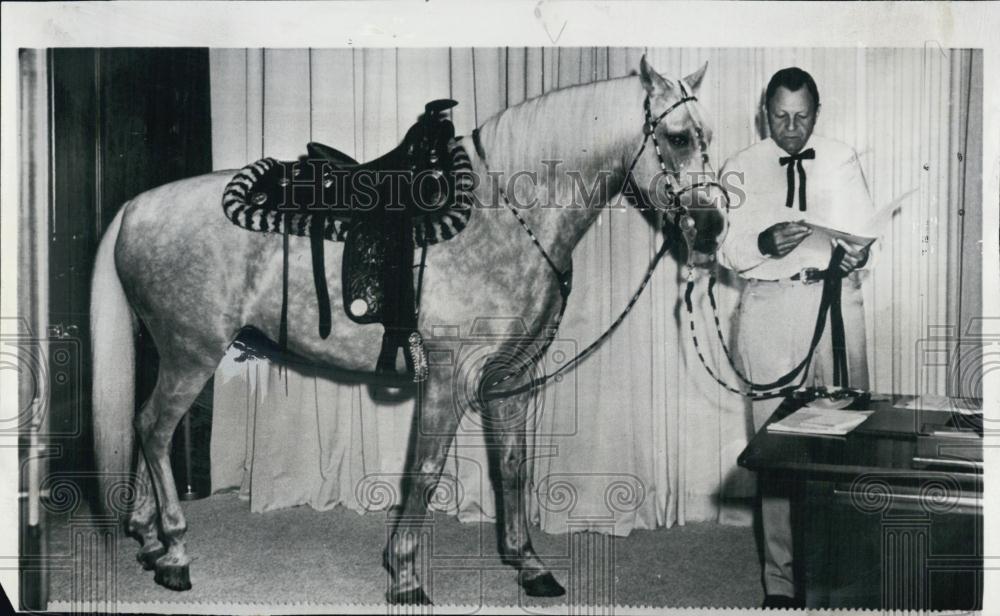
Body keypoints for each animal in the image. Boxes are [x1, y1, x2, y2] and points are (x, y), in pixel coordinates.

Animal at [94, 55, 728, 604]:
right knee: (154, 429)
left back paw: (150, 541)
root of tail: (136, 206)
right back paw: (176, 555)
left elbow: (513, 468)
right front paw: (404, 577)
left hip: (170, 353)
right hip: (192, 352)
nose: (712, 226)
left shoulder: (510, 380)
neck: (508, 217)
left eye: (708, 136)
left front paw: (529, 566)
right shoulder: (449, 377)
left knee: (147, 428)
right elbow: (424, 473)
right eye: (677, 138)